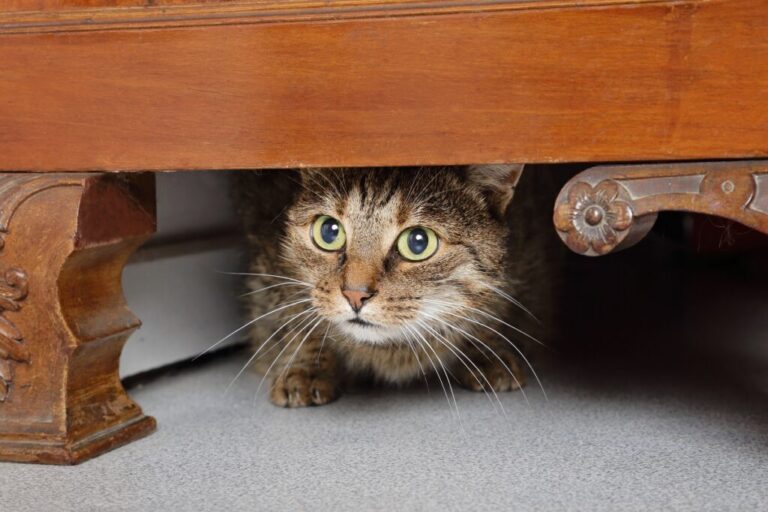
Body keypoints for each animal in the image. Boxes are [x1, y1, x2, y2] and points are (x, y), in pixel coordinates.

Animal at [234, 166, 560, 406]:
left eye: (418, 242)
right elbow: (293, 313)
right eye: (329, 231)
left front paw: (486, 350)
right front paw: (307, 366)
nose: (355, 294)